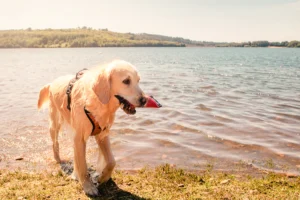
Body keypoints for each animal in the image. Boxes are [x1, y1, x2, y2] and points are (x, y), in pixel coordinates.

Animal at [37, 60, 148, 196]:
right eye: (126, 81)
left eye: (138, 80)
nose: (144, 100)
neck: (98, 101)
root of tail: (52, 82)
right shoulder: (79, 138)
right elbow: (83, 167)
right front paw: (88, 187)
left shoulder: (102, 135)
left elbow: (111, 161)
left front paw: (103, 177)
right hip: (55, 123)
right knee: (55, 143)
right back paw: (58, 159)